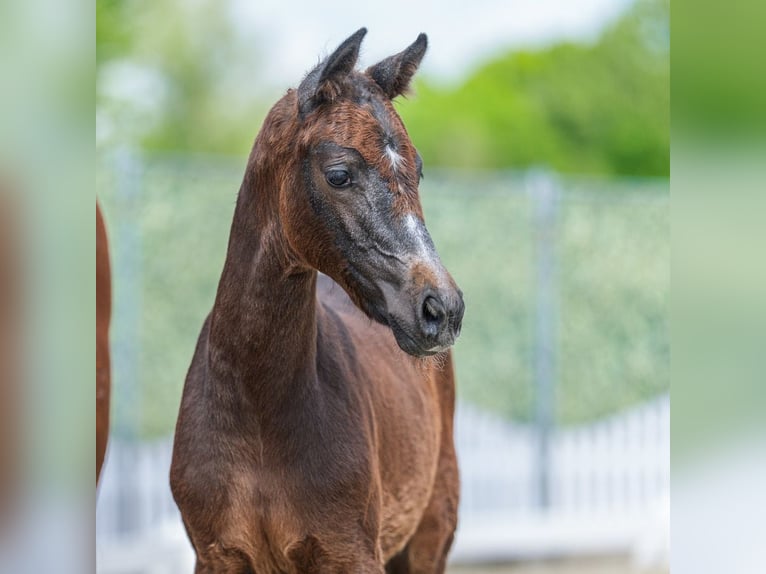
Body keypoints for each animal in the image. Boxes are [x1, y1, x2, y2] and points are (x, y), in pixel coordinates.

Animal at [170, 29, 465, 573]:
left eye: (417, 170)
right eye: (339, 173)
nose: (442, 309)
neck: (258, 411)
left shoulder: (351, 552)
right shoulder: (216, 554)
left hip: (431, 534)